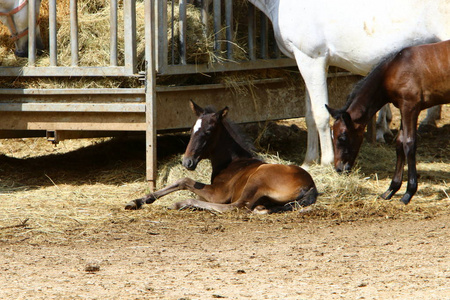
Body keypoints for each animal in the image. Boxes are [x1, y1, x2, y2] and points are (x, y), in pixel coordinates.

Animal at [125, 101, 318, 213]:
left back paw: (182, 203)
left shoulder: (218, 193)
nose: (187, 162)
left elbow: (185, 181)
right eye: (191, 129)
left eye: (208, 131)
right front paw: (138, 200)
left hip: (258, 178)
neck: (232, 162)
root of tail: (310, 185)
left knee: (238, 206)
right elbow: (181, 182)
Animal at [248, 0, 448, 166]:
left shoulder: (313, 60)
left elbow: (320, 115)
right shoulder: (304, 61)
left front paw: (326, 162)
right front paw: (309, 161)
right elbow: (310, 115)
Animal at [326, 39, 450, 204]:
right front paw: (391, 189)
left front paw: (409, 193)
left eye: (342, 137)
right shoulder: (403, 108)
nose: (339, 168)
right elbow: (399, 142)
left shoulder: (410, 107)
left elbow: (409, 143)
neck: (393, 70)